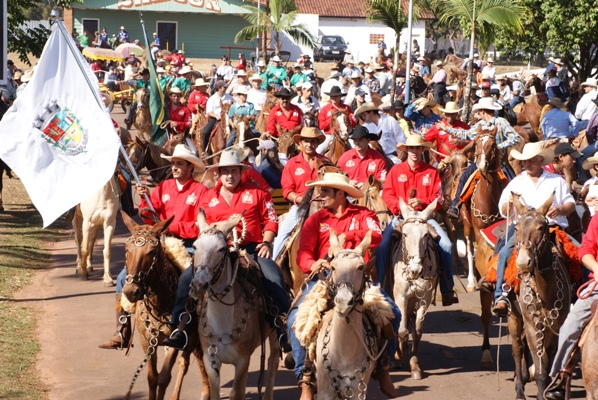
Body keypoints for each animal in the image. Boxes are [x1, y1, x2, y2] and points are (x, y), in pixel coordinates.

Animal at [118, 214, 210, 400]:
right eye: (126, 250)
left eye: (152, 252)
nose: (131, 291)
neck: (159, 306)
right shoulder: (147, 341)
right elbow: (152, 378)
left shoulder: (175, 340)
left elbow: (164, 377)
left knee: (187, 362)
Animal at [191, 211, 280, 398]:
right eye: (195, 246)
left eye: (221, 249)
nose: (198, 284)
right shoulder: (210, 361)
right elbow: (217, 393)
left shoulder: (242, 361)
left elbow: (236, 392)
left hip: (275, 335)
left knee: (273, 361)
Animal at [394, 198, 440, 380]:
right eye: (405, 234)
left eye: (426, 235)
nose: (415, 270)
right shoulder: (401, 298)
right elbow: (401, 330)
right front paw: (398, 355)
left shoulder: (424, 299)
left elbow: (417, 332)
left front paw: (414, 366)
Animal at [508, 192, 576, 398]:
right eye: (516, 227)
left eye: (541, 227)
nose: (523, 262)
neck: (545, 292)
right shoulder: (532, 326)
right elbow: (540, 365)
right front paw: (539, 390)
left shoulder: (556, 326)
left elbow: (550, 359)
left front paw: (551, 390)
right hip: (514, 317)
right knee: (517, 348)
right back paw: (519, 389)